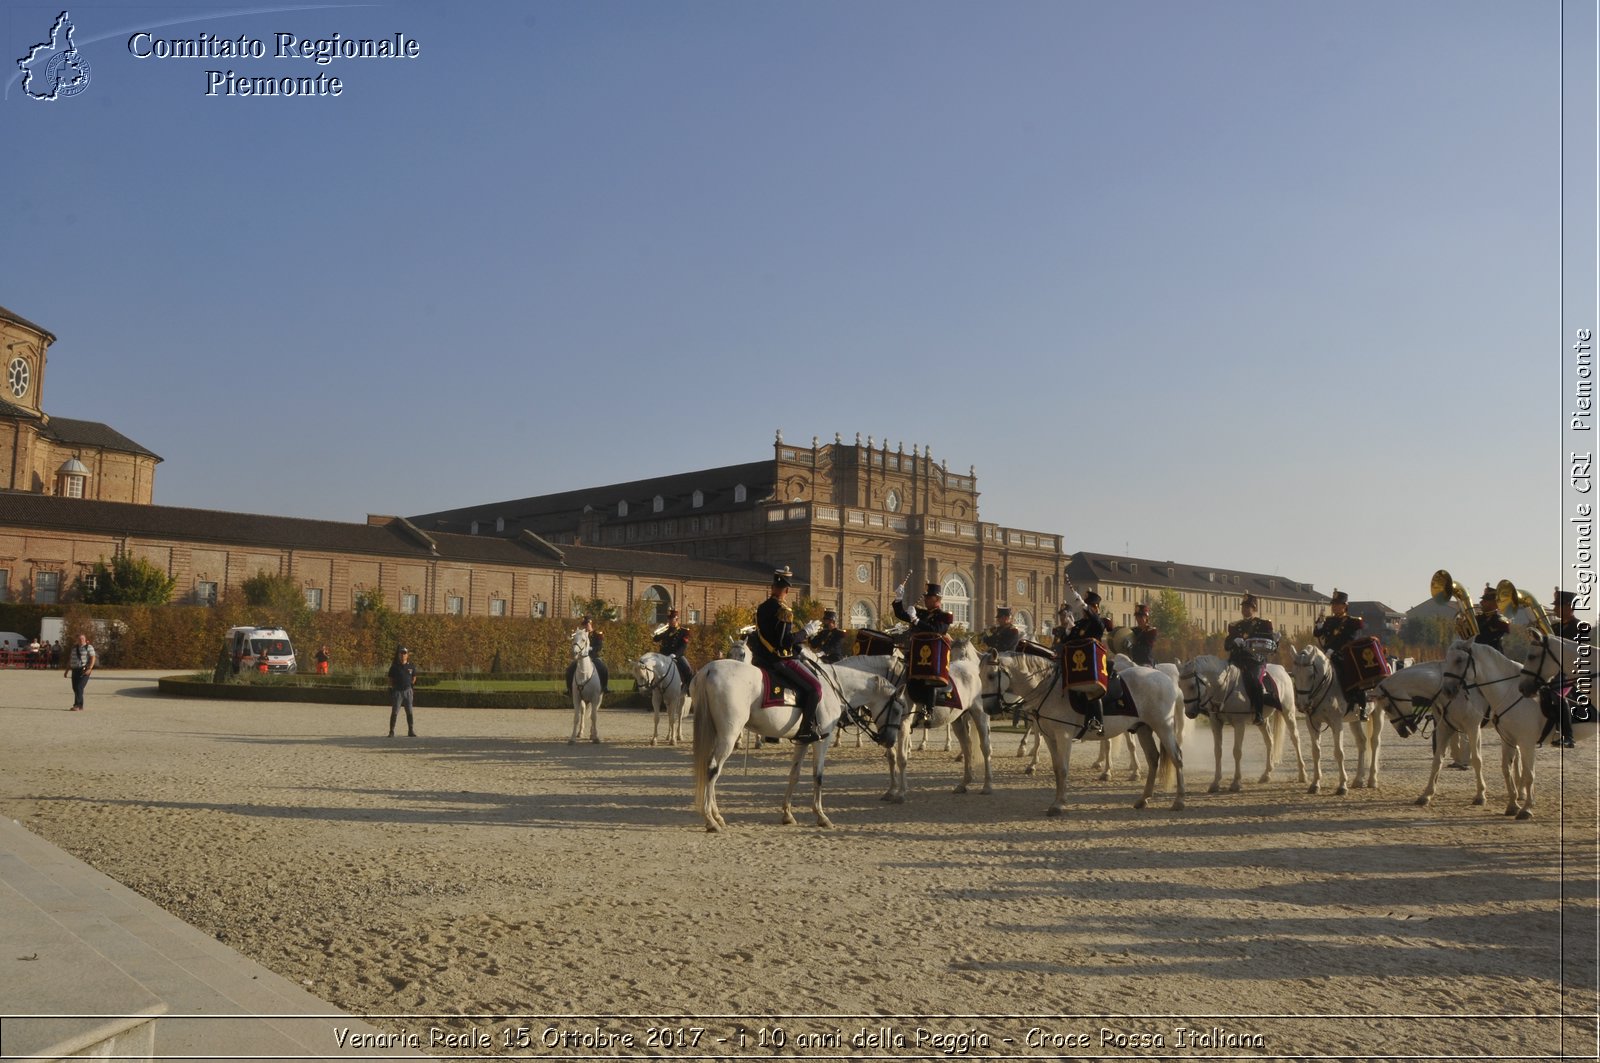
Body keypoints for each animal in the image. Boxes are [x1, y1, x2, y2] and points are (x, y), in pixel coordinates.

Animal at [694, 653, 908, 832]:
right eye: (898, 710)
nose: (889, 740)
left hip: (718, 734)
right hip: (729, 735)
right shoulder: (823, 740)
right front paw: (821, 816)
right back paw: (710, 820)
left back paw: (716, 816)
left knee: (711, 769)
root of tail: (710, 669)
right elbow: (818, 776)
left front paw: (787, 814)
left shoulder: (802, 741)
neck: (834, 687)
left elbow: (794, 775)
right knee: (713, 769)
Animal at [979, 646, 1184, 813]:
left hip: (1163, 727)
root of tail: (1165, 678)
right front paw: (1057, 799)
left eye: (991, 676)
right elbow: (1056, 768)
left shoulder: (1063, 735)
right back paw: (1143, 799)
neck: (1048, 689)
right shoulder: (1049, 737)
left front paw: (1059, 804)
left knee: (1177, 758)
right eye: (980, 676)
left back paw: (1179, 801)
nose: (988, 709)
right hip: (1144, 729)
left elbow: (1063, 768)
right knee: (1153, 759)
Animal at [1177, 653, 1299, 794]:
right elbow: (1217, 751)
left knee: (1295, 738)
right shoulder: (1216, 723)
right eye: (1179, 685)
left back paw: (1302, 775)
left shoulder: (1239, 724)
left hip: (1288, 712)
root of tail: (1282, 670)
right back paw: (1266, 774)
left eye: (1192, 685)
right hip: (1262, 721)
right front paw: (1215, 783)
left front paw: (1236, 783)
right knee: (1270, 741)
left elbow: (1237, 752)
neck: (1223, 687)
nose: (1189, 713)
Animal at [1292, 643, 1382, 794]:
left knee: (1374, 742)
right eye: (1294, 674)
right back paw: (1358, 779)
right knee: (1362, 742)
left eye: (1311, 675)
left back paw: (1372, 780)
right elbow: (1316, 752)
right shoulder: (1312, 723)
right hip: (1355, 719)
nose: (1303, 704)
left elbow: (1339, 753)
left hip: (1378, 713)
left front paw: (1342, 785)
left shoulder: (1336, 723)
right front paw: (1315, 784)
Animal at [1446, 633, 1593, 816]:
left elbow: (1528, 774)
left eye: (1459, 660)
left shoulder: (1526, 742)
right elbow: (1507, 769)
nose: (1447, 689)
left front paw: (1526, 808)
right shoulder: (1508, 740)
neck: (1510, 693)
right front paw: (1513, 805)